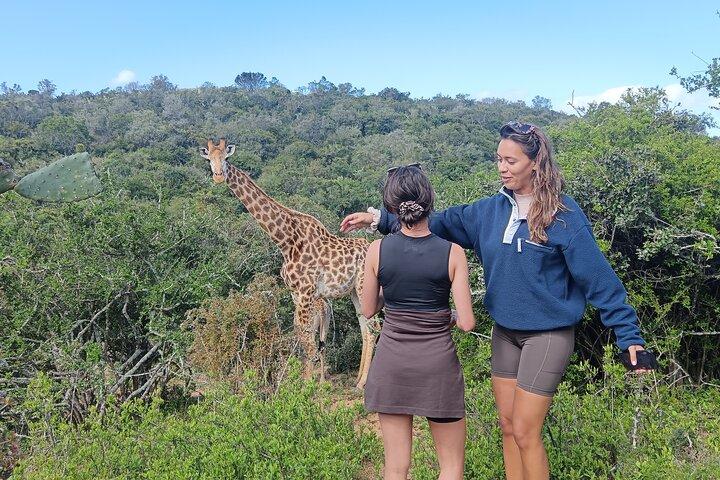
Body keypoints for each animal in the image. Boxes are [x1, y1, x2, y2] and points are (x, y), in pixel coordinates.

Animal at [200, 138, 377, 388]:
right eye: (209, 159)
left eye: (226, 157)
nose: (218, 176)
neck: (285, 240)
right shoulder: (295, 292)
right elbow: (302, 334)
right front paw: (304, 381)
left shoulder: (305, 291)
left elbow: (306, 336)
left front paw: (308, 386)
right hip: (353, 290)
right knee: (364, 327)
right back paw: (359, 381)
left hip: (363, 286)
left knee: (372, 327)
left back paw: (363, 384)